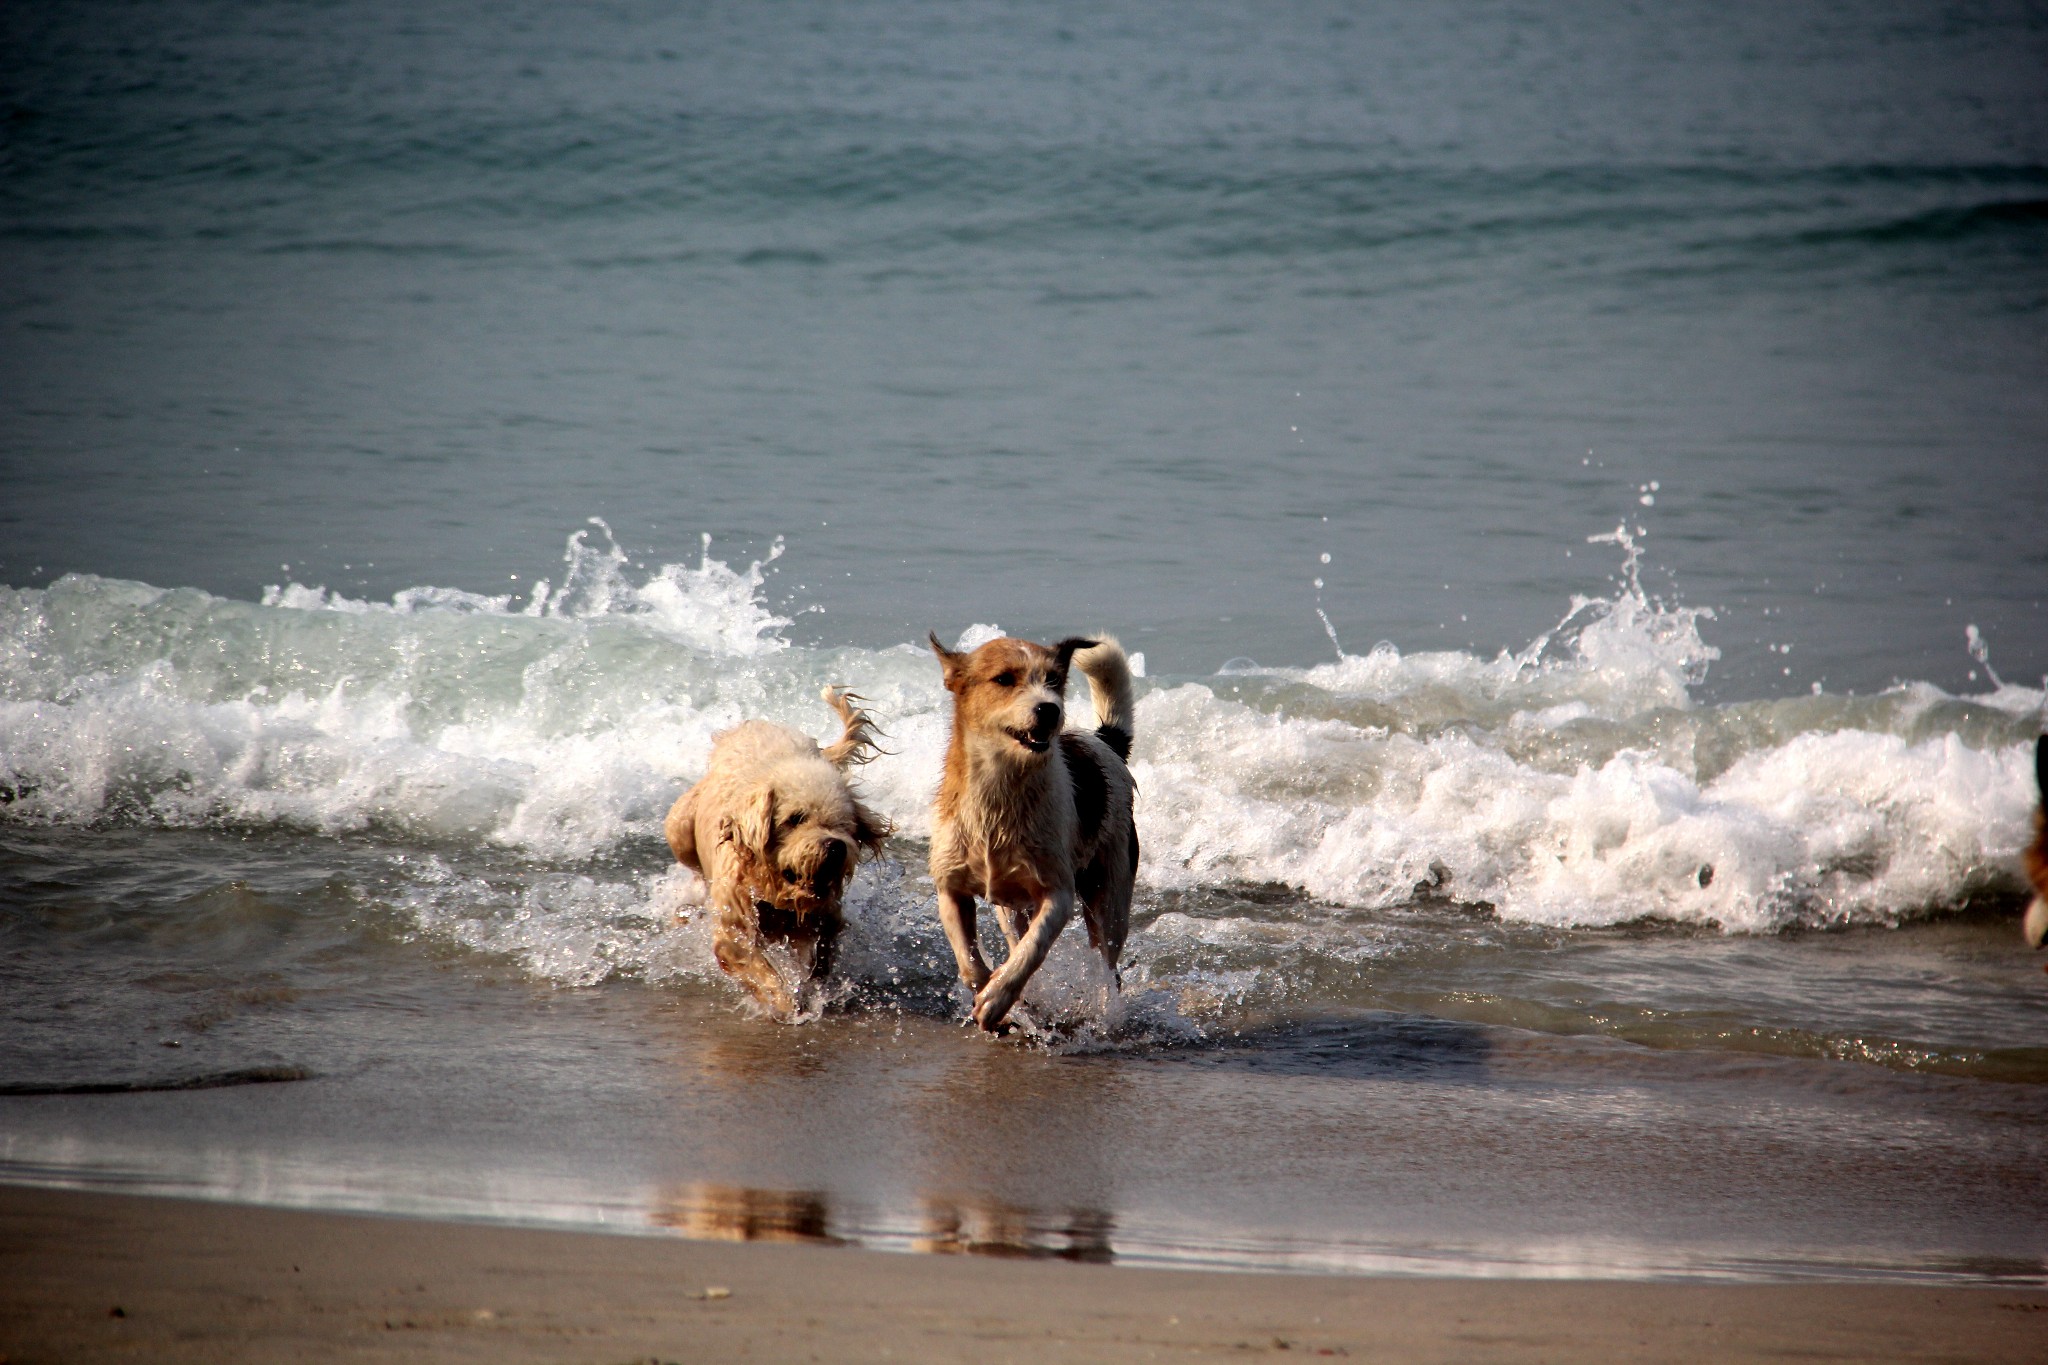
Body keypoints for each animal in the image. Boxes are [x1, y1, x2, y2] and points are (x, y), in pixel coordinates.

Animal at [671, 687, 888, 1019]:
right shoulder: (734, 928)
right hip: (679, 828)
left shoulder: (824, 917)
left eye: (844, 824)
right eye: (795, 818)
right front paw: (787, 1005)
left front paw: (809, 992)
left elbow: (819, 956)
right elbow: (757, 967)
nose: (835, 846)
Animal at [925, 634, 1138, 1031]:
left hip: (1111, 898)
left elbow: (1032, 950)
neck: (1001, 790)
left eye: (1054, 680)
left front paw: (997, 999)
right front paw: (996, 995)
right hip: (1010, 912)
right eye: (1005, 679)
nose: (1049, 709)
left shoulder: (1058, 895)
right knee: (1015, 937)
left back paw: (1106, 1012)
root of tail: (1105, 743)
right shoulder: (950, 890)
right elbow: (970, 965)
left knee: (1108, 966)